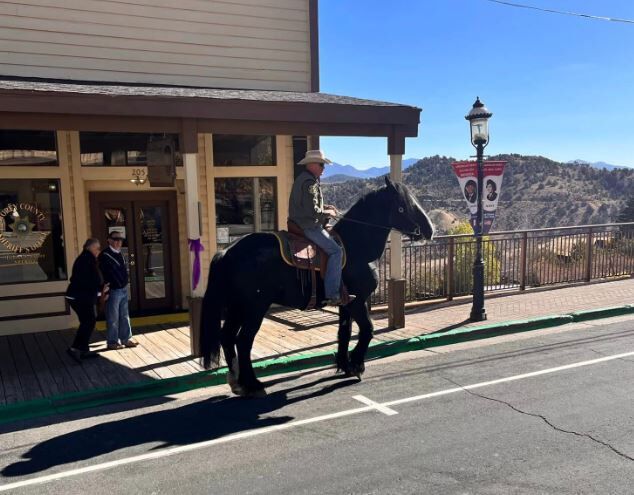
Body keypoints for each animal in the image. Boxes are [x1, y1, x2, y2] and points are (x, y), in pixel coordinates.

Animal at [201, 178, 434, 400]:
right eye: (402, 207)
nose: (430, 229)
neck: (356, 247)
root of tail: (227, 252)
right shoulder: (358, 301)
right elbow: (367, 329)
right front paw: (357, 364)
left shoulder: (346, 302)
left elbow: (344, 332)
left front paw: (345, 365)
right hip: (254, 308)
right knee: (243, 341)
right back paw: (253, 385)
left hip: (237, 307)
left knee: (227, 336)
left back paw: (237, 382)